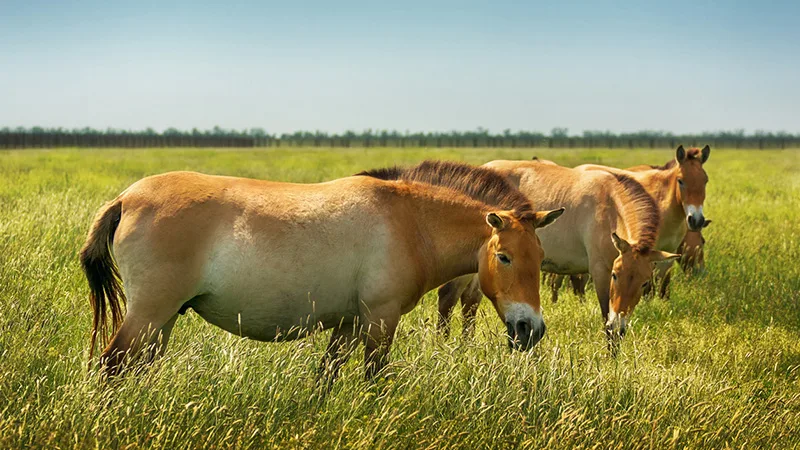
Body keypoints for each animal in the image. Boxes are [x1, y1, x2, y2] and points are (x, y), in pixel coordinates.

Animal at [78, 160, 560, 382]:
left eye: (540, 258)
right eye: (505, 257)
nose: (531, 329)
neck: (410, 222)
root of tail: (126, 198)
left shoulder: (347, 324)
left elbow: (325, 377)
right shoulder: (380, 321)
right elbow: (374, 380)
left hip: (161, 321)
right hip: (149, 314)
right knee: (111, 367)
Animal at [438, 160, 676, 346]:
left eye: (644, 283)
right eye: (616, 276)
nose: (619, 327)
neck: (610, 207)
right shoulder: (600, 271)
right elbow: (605, 315)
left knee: (470, 300)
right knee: (449, 296)